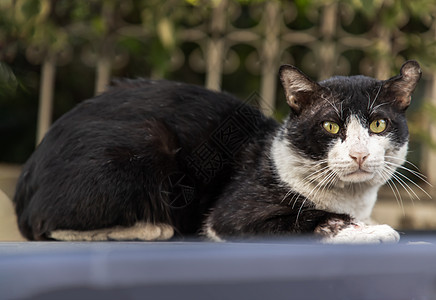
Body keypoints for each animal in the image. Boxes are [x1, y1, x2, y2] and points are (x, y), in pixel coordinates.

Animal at [14, 59, 422, 243]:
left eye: (378, 125)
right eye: (331, 127)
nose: (358, 154)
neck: (352, 198)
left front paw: (367, 224)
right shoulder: (233, 214)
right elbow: (311, 218)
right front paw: (369, 230)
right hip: (147, 144)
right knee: (47, 226)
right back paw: (149, 227)